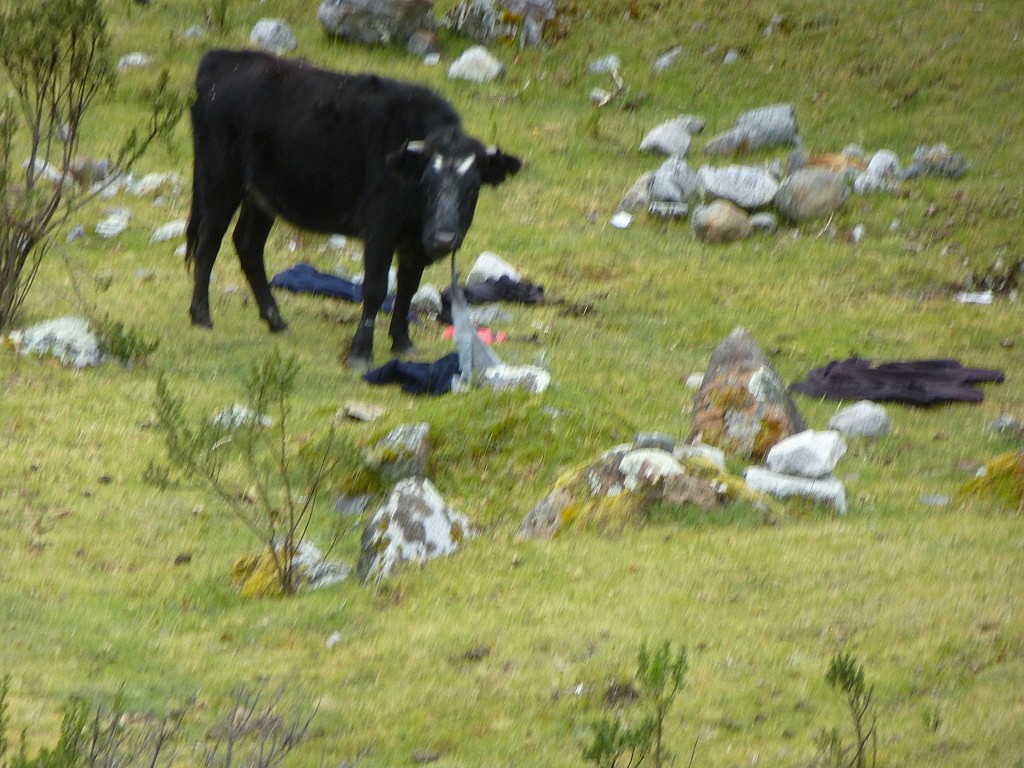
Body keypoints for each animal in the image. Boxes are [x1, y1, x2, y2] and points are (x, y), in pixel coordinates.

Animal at [185, 49, 522, 369]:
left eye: (473, 187)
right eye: (426, 183)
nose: (443, 238)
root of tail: (222, 59)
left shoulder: (414, 241)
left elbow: (408, 288)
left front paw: (402, 342)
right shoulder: (380, 229)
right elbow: (376, 288)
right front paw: (361, 353)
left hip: (260, 196)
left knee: (248, 245)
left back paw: (276, 320)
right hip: (219, 179)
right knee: (210, 241)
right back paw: (201, 315)